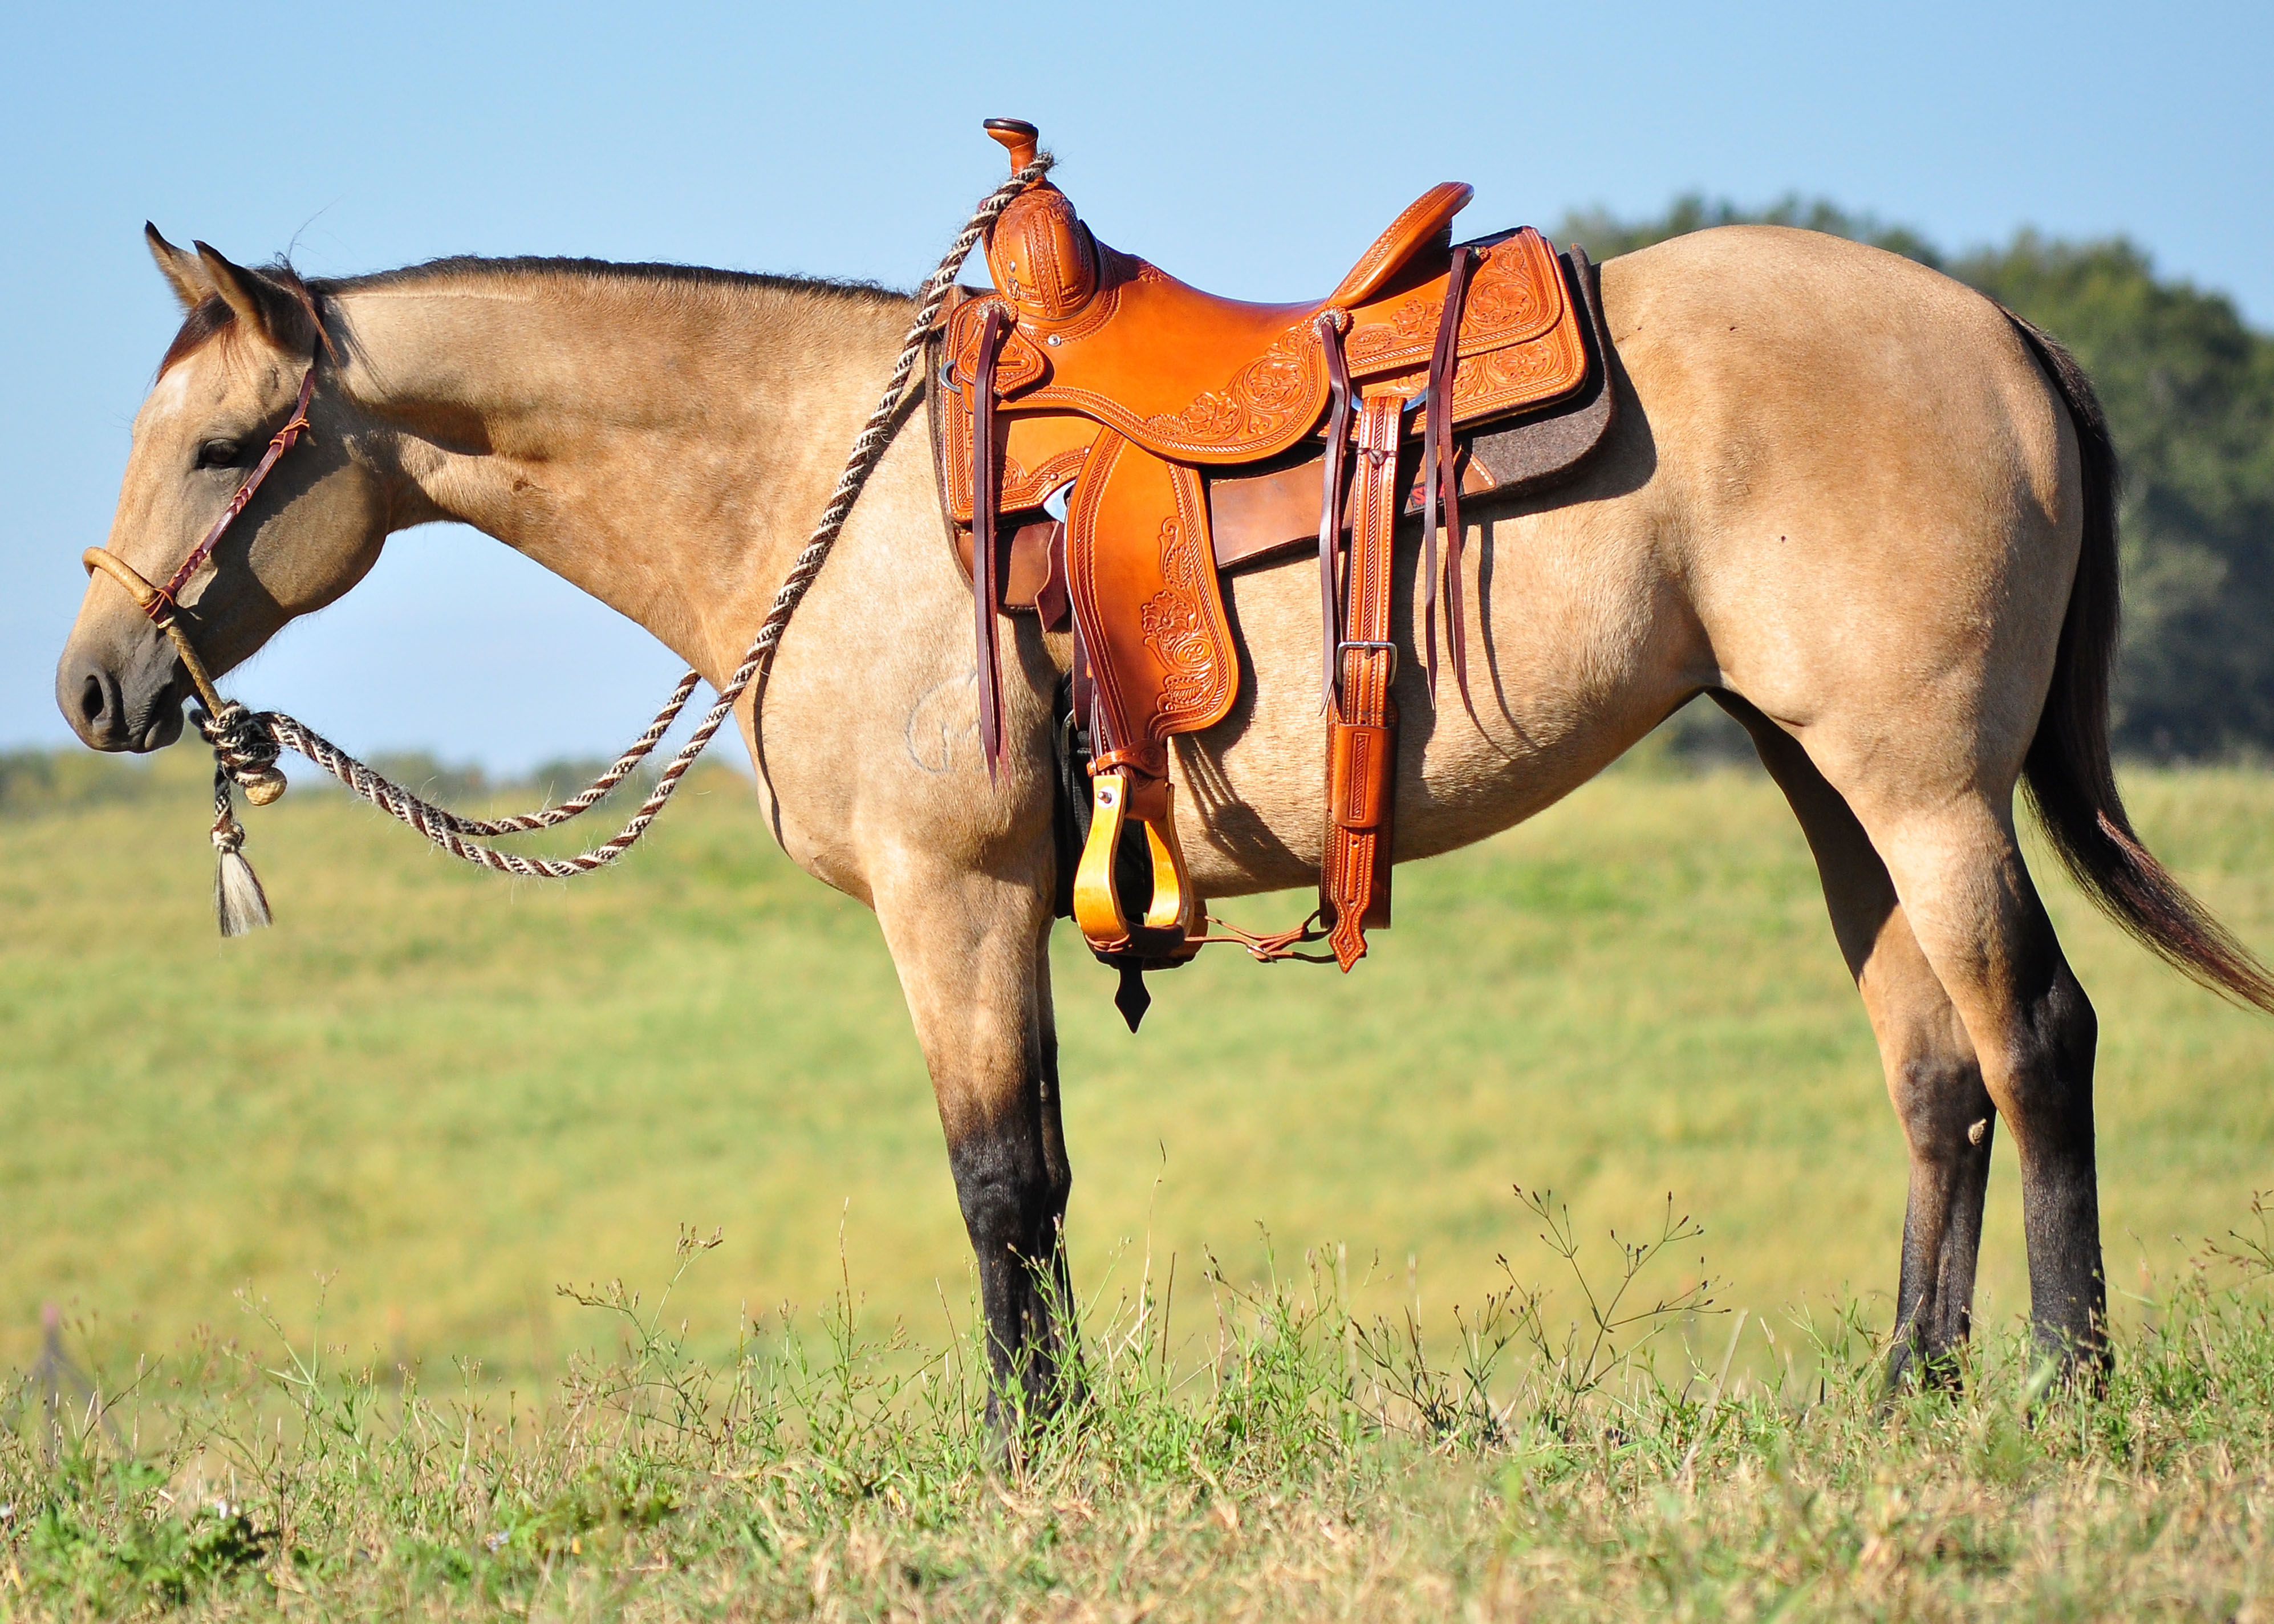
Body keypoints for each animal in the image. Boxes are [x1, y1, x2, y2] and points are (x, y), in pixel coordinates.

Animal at [53, 133, 2274, 1410]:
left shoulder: (951, 895)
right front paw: (1059, 1428)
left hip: (1919, 782)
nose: (89, 686)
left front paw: (1023, 1444)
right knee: (1933, 1069)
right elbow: (1030, 1172)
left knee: (2037, 1036)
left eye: (216, 445)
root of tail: (1998, 327)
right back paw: (1908, 1392)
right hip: (1834, 788)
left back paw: (2069, 1385)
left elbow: (993, 1175)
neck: (810, 484)